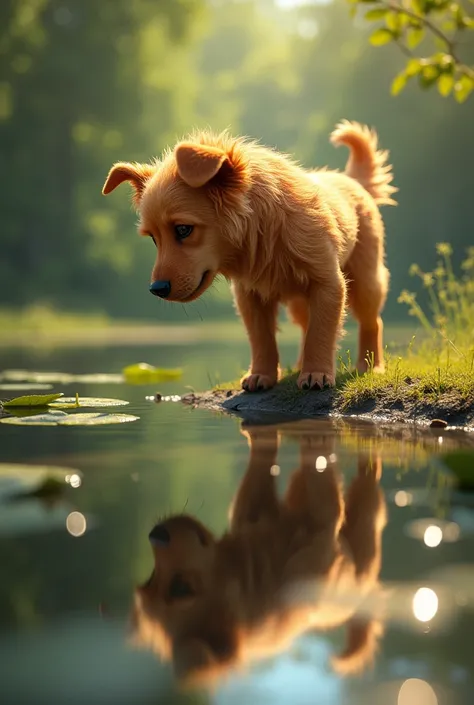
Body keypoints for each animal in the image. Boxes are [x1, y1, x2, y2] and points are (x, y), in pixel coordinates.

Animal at [103, 119, 396, 390]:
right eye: (154, 238)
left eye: (183, 229)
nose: (157, 289)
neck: (262, 230)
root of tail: (352, 181)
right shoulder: (250, 294)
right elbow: (262, 338)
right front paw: (262, 375)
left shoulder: (327, 283)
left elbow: (321, 332)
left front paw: (317, 374)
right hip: (300, 301)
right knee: (305, 325)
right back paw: (301, 364)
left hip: (366, 280)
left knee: (373, 321)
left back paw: (370, 365)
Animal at [129, 420, 386, 684]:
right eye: (151, 580)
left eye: (181, 588)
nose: (155, 534)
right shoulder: (255, 511)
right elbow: (268, 461)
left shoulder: (322, 530)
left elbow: (320, 478)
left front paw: (317, 442)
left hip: (365, 537)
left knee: (368, 494)